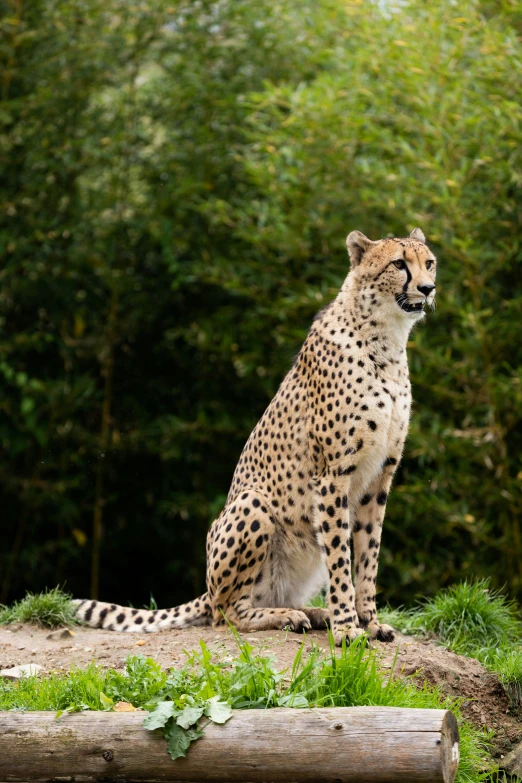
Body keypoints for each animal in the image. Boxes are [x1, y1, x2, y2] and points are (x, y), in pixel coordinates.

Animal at [74, 230, 434, 648]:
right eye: (399, 264)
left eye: (429, 263)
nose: (428, 288)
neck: (386, 340)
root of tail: (208, 588)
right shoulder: (332, 476)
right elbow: (341, 561)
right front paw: (347, 626)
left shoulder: (378, 479)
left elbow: (366, 556)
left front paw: (370, 622)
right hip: (252, 506)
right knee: (227, 614)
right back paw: (290, 616)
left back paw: (313, 613)